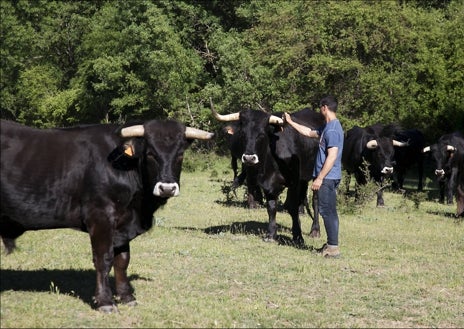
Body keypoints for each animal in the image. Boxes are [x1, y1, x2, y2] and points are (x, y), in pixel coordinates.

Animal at [0, 119, 214, 312]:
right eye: (150, 154)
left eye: (180, 154)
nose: (167, 188)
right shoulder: (101, 217)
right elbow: (104, 259)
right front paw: (105, 301)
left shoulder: (123, 224)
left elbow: (122, 260)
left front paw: (127, 297)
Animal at [209, 101, 322, 245]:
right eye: (243, 134)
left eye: (262, 134)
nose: (249, 158)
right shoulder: (267, 184)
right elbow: (271, 208)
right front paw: (271, 234)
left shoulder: (293, 182)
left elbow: (292, 207)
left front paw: (298, 236)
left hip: (318, 174)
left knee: (315, 200)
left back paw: (315, 230)